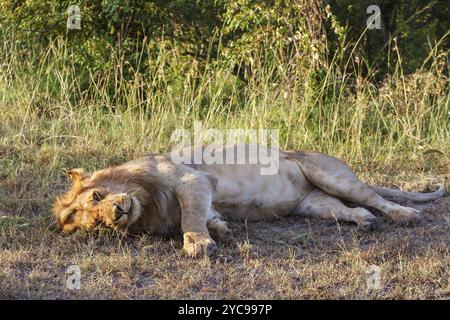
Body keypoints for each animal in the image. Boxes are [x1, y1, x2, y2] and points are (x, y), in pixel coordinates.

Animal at [51, 145, 442, 258]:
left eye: (98, 196)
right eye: (97, 223)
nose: (116, 213)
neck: (144, 201)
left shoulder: (191, 180)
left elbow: (190, 217)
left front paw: (198, 243)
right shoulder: (202, 196)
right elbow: (207, 215)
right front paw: (221, 231)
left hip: (331, 175)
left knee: (374, 197)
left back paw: (406, 215)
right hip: (316, 205)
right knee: (354, 209)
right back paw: (364, 222)